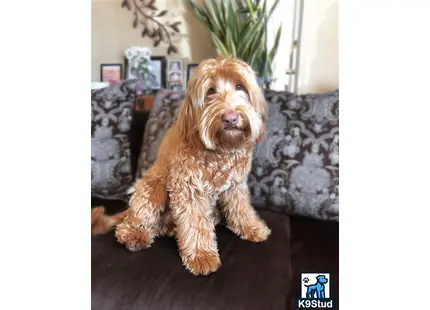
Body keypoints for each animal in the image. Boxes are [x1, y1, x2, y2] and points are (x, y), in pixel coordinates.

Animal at [92, 56, 270, 276]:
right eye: (211, 91)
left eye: (240, 86)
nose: (230, 118)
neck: (219, 151)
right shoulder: (189, 188)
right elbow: (194, 221)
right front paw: (202, 255)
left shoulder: (236, 185)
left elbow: (241, 208)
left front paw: (253, 228)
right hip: (153, 189)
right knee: (130, 223)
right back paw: (135, 235)